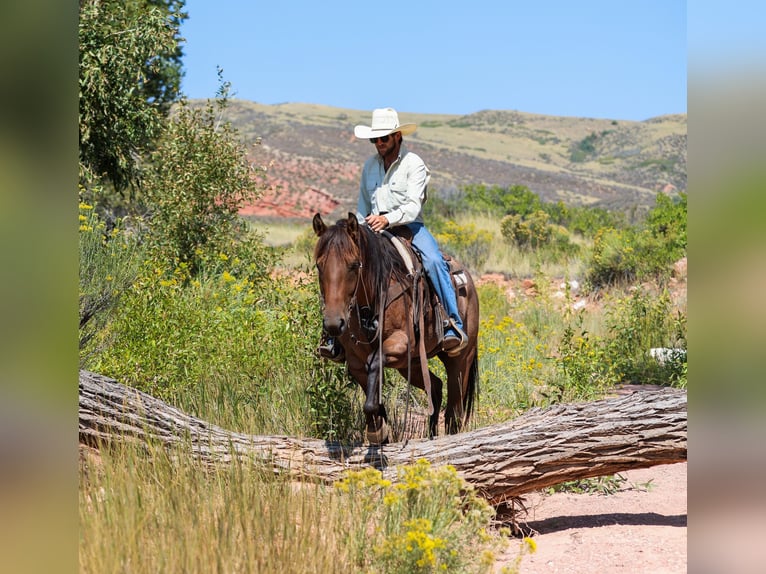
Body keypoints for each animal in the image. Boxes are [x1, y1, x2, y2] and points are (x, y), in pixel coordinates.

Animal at [312, 212, 479, 443]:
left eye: (354, 265)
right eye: (319, 266)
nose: (334, 323)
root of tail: (469, 282)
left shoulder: (401, 344)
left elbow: (374, 366)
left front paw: (377, 430)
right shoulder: (356, 361)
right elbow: (374, 400)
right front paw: (379, 431)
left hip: (460, 360)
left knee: (454, 412)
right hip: (413, 364)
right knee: (435, 387)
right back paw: (430, 434)